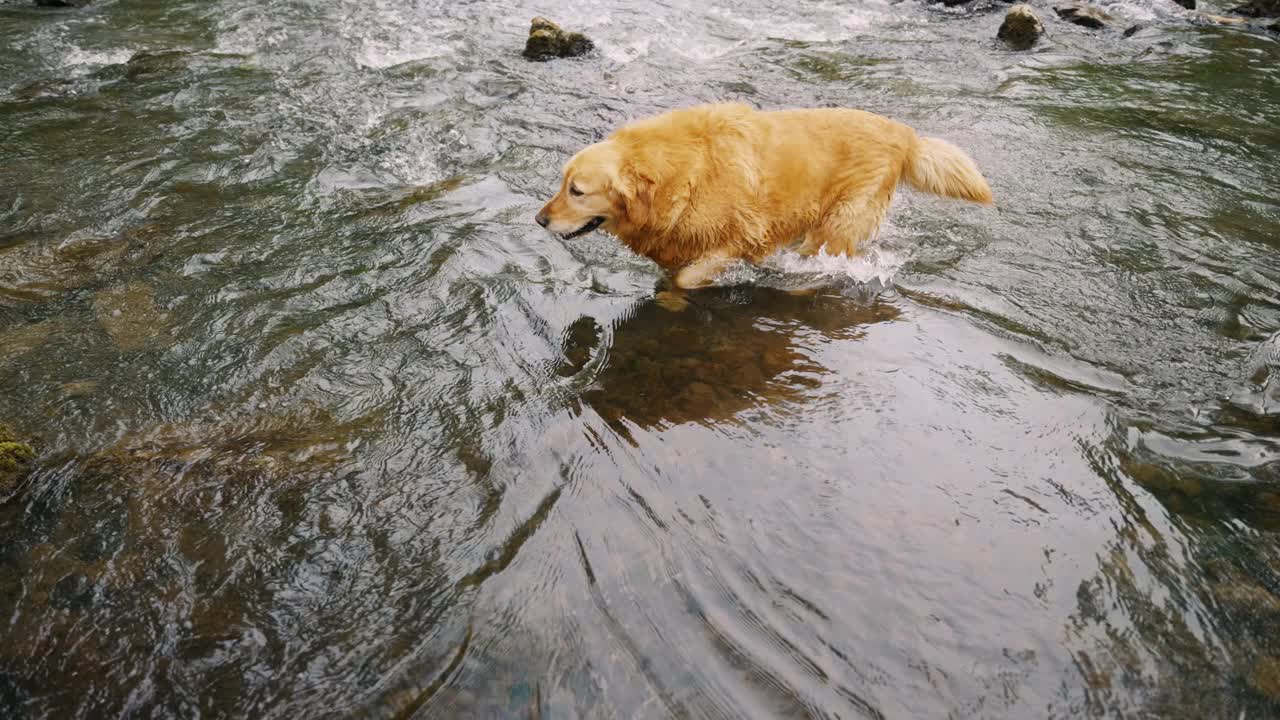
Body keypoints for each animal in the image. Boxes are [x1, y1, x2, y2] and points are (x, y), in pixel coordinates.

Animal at [535, 103, 993, 288]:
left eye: (577, 191)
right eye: (561, 182)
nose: (539, 220)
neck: (682, 175)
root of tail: (906, 134)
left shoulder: (737, 240)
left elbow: (686, 279)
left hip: (838, 224)